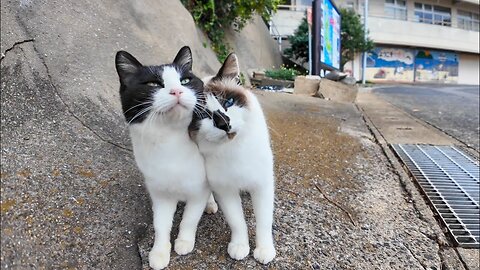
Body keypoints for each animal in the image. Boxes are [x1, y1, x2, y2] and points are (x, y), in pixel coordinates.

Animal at [115, 47, 215, 268]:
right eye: (153, 84)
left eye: (185, 80)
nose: (176, 91)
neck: (171, 143)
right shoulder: (160, 193)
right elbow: (160, 224)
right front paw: (159, 252)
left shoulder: (199, 189)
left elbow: (190, 218)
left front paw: (184, 243)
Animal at [190, 54, 276, 264]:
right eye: (204, 115)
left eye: (228, 102)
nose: (224, 123)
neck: (233, 150)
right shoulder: (225, 190)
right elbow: (238, 222)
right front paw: (240, 246)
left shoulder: (262, 185)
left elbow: (263, 221)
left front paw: (264, 250)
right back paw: (210, 205)